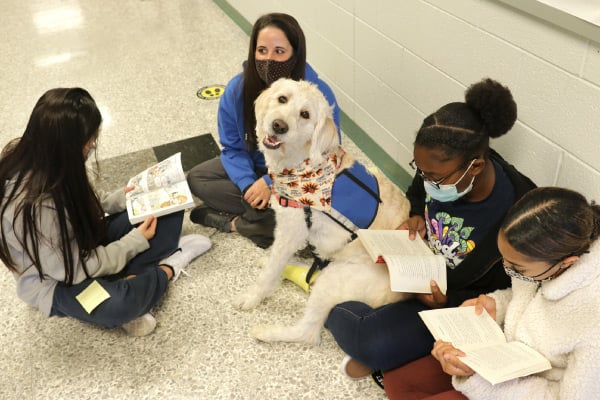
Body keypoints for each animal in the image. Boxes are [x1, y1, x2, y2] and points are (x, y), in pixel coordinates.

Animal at [234, 79, 412, 346]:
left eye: (305, 115)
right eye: (282, 99)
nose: (279, 125)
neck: (304, 166)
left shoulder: (292, 233)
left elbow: (269, 274)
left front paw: (252, 297)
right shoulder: (287, 230)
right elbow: (275, 260)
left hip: (336, 278)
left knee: (308, 332)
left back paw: (267, 332)